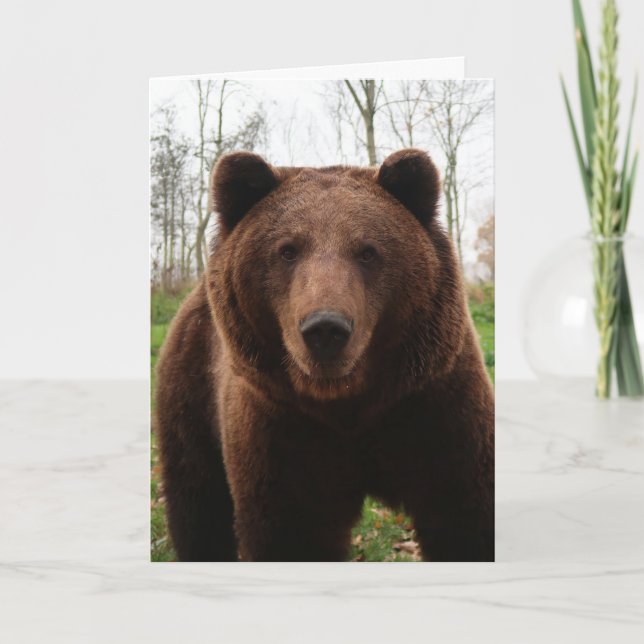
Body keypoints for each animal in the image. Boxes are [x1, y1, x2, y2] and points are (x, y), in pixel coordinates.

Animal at [154, 149, 494, 562]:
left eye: (367, 251)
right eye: (287, 249)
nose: (326, 328)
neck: (347, 405)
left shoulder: (432, 406)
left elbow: (465, 517)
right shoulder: (283, 430)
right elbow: (292, 533)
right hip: (191, 397)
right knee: (198, 507)